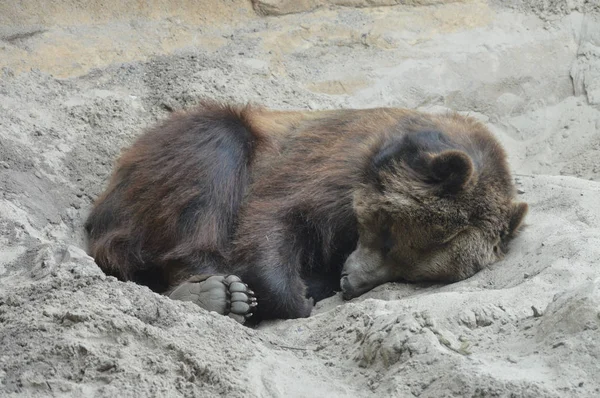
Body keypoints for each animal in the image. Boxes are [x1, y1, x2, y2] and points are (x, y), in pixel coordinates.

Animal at [84, 102, 524, 324]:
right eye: (390, 236)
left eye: (411, 272)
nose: (352, 280)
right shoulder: (328, 168)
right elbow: (276, 218)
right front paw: (293, 297)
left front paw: (312, 285)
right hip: (163, 166)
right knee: (209, 163)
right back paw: (213, 292)